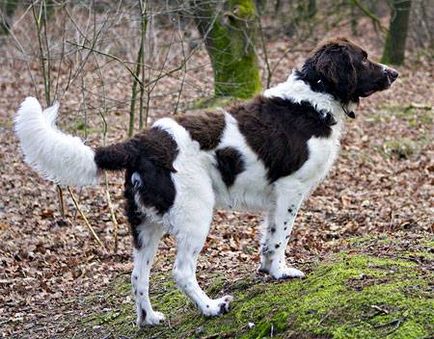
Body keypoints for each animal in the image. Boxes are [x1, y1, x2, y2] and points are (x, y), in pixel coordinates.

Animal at [16, 37, 396, 326]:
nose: (394, 72)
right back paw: (212, 307)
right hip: (195, 214)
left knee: (138, 276)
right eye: (363, 58)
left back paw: (149, 319)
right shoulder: (291, 189)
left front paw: (266, 269)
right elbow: (280, 238)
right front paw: (280, 272)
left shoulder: (275, 196)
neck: (313, 99)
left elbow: (268, 237)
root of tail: (139, 143)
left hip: (145, 226)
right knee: (182, 272)